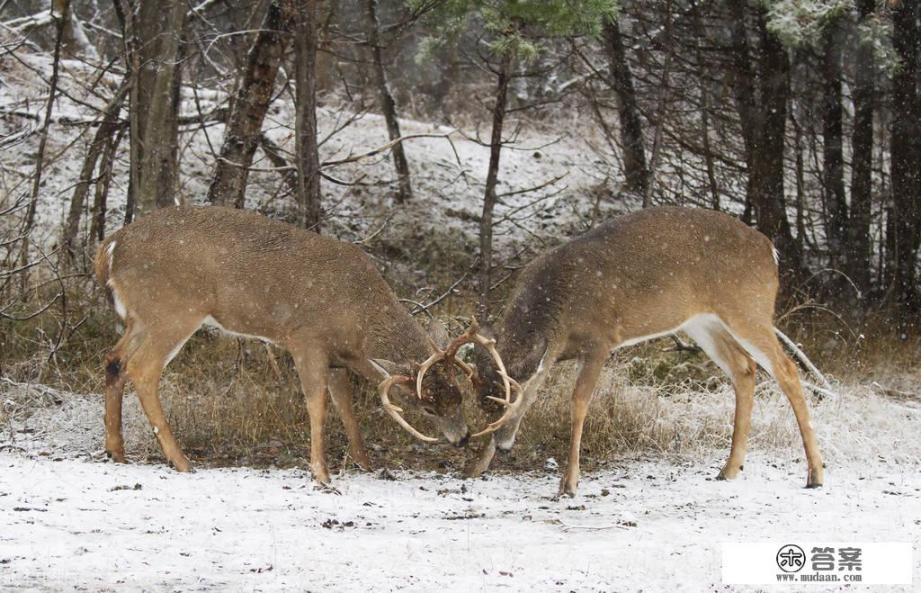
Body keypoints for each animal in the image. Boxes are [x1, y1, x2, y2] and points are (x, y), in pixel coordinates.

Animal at [93, 206, 504, 484]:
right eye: (428, 407)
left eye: (459, 396)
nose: (463, 438)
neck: (358, 315)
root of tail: (111, 247)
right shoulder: (306, 338)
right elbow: (317, 404)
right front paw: (321, 473)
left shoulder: (340, 357)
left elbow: (347, 408)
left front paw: (367, 463)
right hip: (174, 309)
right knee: (142, 369)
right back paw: (181, 461)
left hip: (141, 316)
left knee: (114, 359)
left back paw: (117, 451)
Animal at [460, 207, 828, 494]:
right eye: (484, 406)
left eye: (510, 401)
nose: (503, 444)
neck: (559, 306)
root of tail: (770, 250)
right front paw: (475, 467)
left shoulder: (600, 339)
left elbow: (578, 403)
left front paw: (569, 483)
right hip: (702, 321)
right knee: (744, 368)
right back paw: (728, 469)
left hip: (748, 308)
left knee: (786, 369)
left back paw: (815, 474)